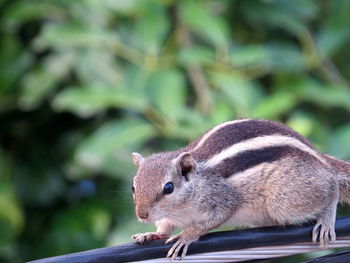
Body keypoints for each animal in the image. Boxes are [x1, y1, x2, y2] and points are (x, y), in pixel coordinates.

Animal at [129, 120, 350, 262]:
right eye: (133, 186)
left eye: (168, 188)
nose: (142, 215)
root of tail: (320, 158)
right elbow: (165, 226)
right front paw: (151, 234)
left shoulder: (223, 196)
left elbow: (217, 215)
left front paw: (186, 236)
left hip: (285, 198)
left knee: (331, 186)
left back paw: (327, 218)